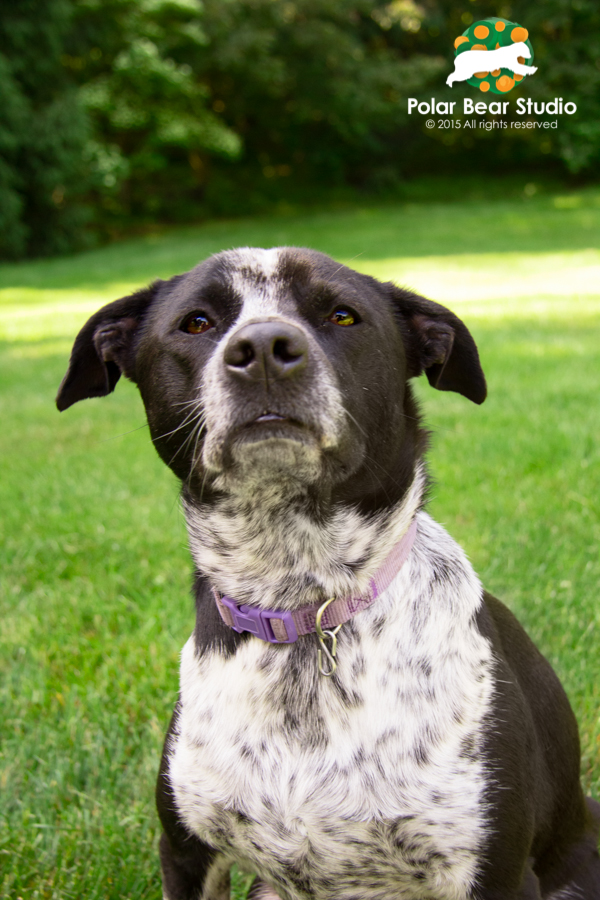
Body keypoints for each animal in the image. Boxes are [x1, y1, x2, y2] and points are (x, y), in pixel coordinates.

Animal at [57, 248, 600, 900]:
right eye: (196, 322)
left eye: (343, 315)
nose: (264, 347)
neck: (300, 601)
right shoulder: (186, 851)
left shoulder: (495, 873)